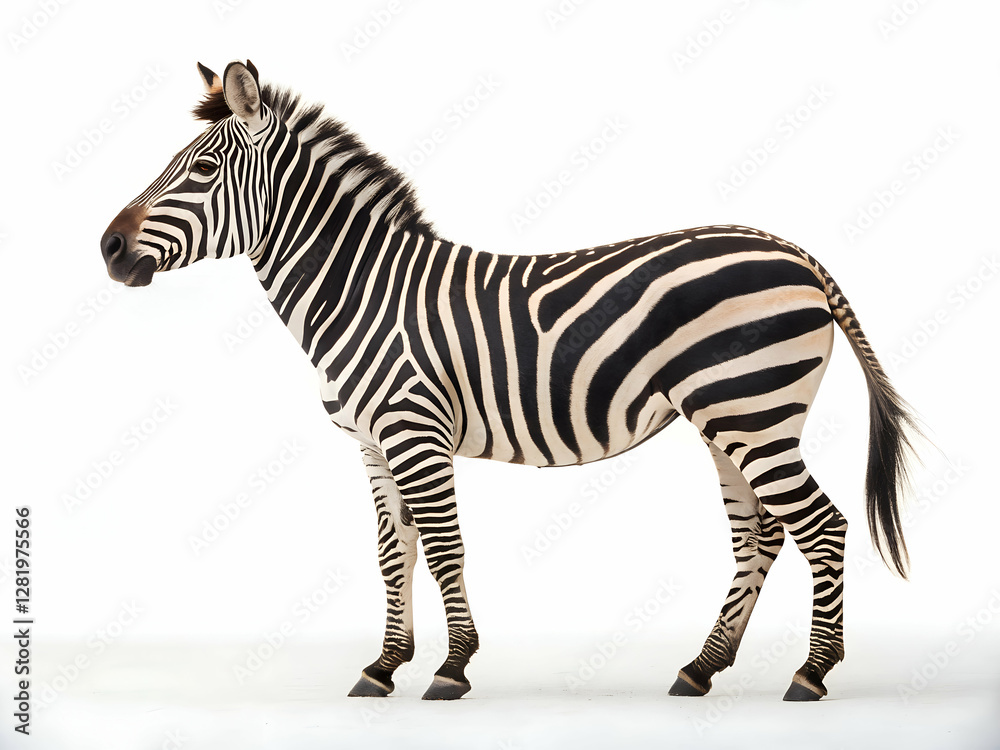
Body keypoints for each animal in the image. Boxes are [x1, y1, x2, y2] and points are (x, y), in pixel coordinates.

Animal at [100, 60, 919, 702]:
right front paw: (384, 666)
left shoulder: (414, 430)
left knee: (821, 525)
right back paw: (701, 668)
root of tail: (794, 251)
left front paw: (452, 668)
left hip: (753, 408)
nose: (107, 247)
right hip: (730, 417)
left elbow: (443, 546)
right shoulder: (372, 443)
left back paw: (811, 674)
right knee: (761, 534)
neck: (361, 290)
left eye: (202, 170)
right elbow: (393, 552)